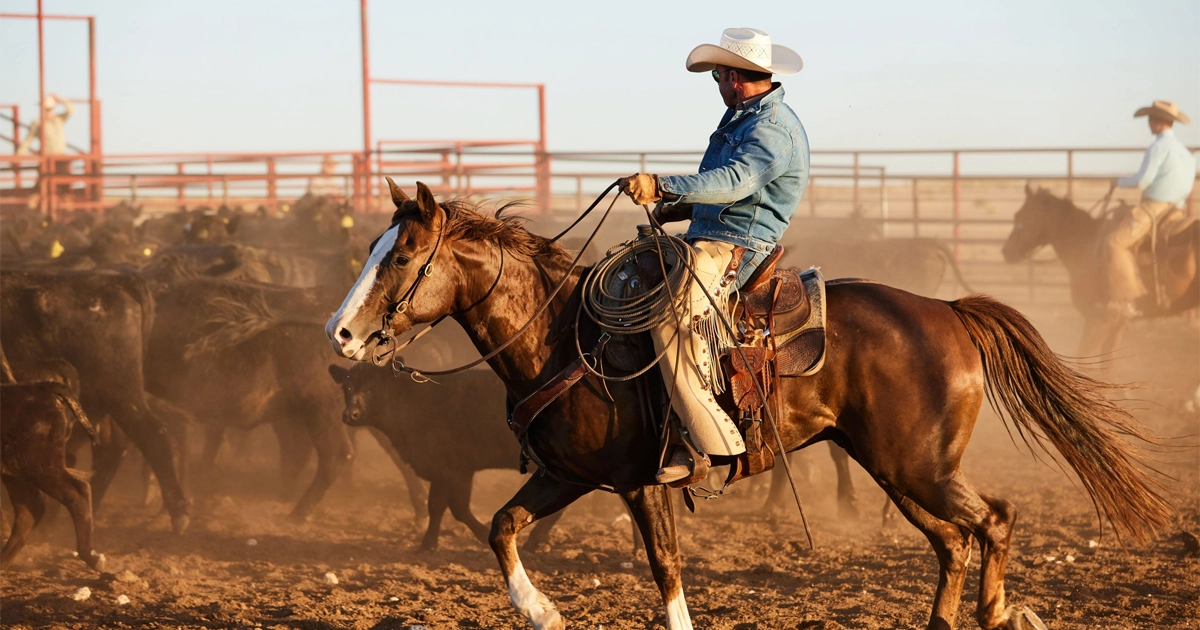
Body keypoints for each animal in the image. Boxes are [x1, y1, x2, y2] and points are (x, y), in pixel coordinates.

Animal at [324, 180, 1172, 630]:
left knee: (992, 519)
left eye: (401, 256)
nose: (342, 333)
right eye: (371, 249)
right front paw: (541, 612)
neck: (566, 337)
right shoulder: (568, 474)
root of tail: (947, 310)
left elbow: (664, 565)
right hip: (898, 468)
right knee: (954, 541)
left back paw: (995, 613)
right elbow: (502, 526)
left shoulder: (641, 482)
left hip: (919, 466)